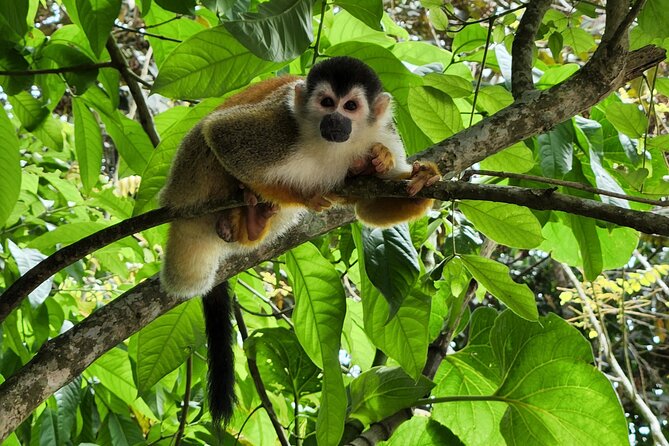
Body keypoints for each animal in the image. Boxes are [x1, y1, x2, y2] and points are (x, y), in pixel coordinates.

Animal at [159, 56, 440, 426]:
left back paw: (251, 224)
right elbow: (221, 133)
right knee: (207, 136)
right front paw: (304, 196)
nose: (334, 120)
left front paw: (422, 177)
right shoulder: (282, 128)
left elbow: (369, 208)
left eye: (350, 106)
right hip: (190, 174)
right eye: (326, 102)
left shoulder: (385, 134)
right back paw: (247, 208)